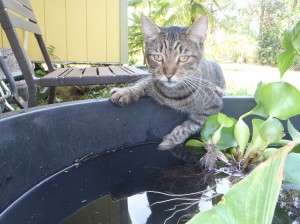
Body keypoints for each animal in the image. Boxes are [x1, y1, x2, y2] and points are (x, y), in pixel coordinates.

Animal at [109, 14, 225, 152]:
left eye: (184, 58)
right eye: (158, 57)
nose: (168, 74)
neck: (172, 93)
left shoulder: (213, 108)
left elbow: (189, 126)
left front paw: (170, 140)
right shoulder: (151, 79)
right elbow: (141, 83)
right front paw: (125, 92)